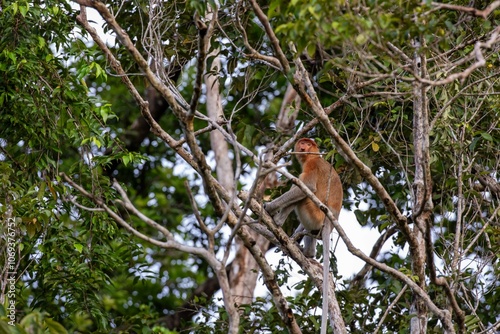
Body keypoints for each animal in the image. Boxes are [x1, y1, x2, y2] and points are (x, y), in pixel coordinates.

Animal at [264, 138, 342, 334]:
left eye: (307, 143)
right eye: (302, 142)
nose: (302, 147)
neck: (314, 156)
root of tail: (331, 219)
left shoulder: (312, 166)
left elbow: (306, 188)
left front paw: (270, 207)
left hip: (312, 211)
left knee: (301, 191)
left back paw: (277, 220)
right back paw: (307, 252)